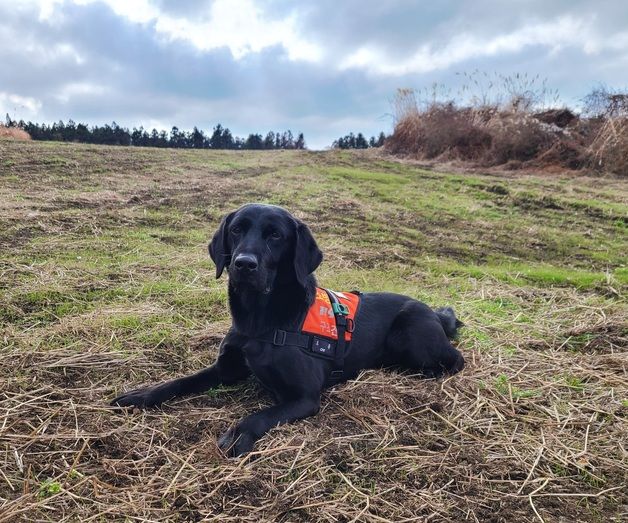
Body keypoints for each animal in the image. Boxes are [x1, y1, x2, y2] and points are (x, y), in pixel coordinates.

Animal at [113, 203, 464, 456]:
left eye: (275, 236)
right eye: (236, 230)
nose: (244, 264)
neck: (259, 319)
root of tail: (434, 312)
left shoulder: (305, 396)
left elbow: (260, 414)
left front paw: (238, 433)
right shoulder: (226, 370)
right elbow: (182, 381)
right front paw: (143, 393)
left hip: (410, 331)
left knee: (455, 359)